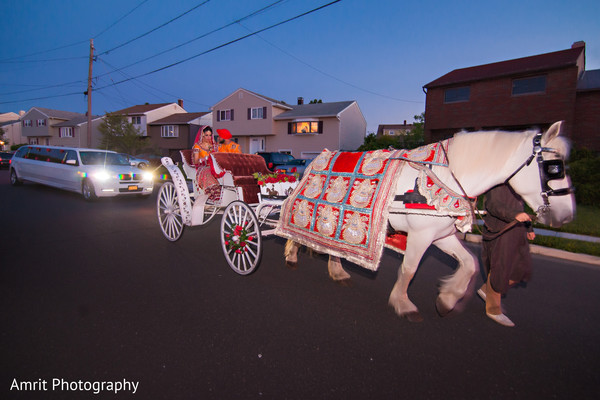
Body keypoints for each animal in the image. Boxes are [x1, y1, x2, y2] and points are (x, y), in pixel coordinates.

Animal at [284, 121, 576, 322]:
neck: (446, 178)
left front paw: (448, 299)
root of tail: (315, 158)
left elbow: (469, 264)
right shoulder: (421, 235)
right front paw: (403, 303)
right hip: (309, 211)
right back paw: (291, 254)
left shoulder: (441, 235)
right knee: (293, 228)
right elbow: (409, 269)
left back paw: (337, 270)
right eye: (554, 167)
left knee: (334, 246)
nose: (567, 215)